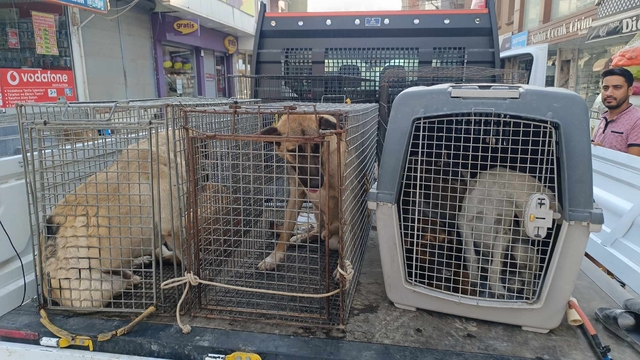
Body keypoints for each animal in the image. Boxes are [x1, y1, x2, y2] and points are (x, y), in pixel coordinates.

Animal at [255, 114, 348, 272]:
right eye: (295, 151)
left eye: (318, 147)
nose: (316, 183)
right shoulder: (296, 195)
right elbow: (286, 230)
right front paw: (274, 257)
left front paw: (342, 268)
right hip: (317, 212)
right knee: (318, 231)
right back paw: (302, 237)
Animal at [460, 166, 560, 298]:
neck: (500, 191)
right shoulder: (464, 222)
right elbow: (471, 256)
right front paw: (474, 281)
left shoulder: (503, 232)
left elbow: (496, 266)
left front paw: (498, 290)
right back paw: (515, 283)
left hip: (519, 249)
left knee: (528, 274)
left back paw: (526, 291)